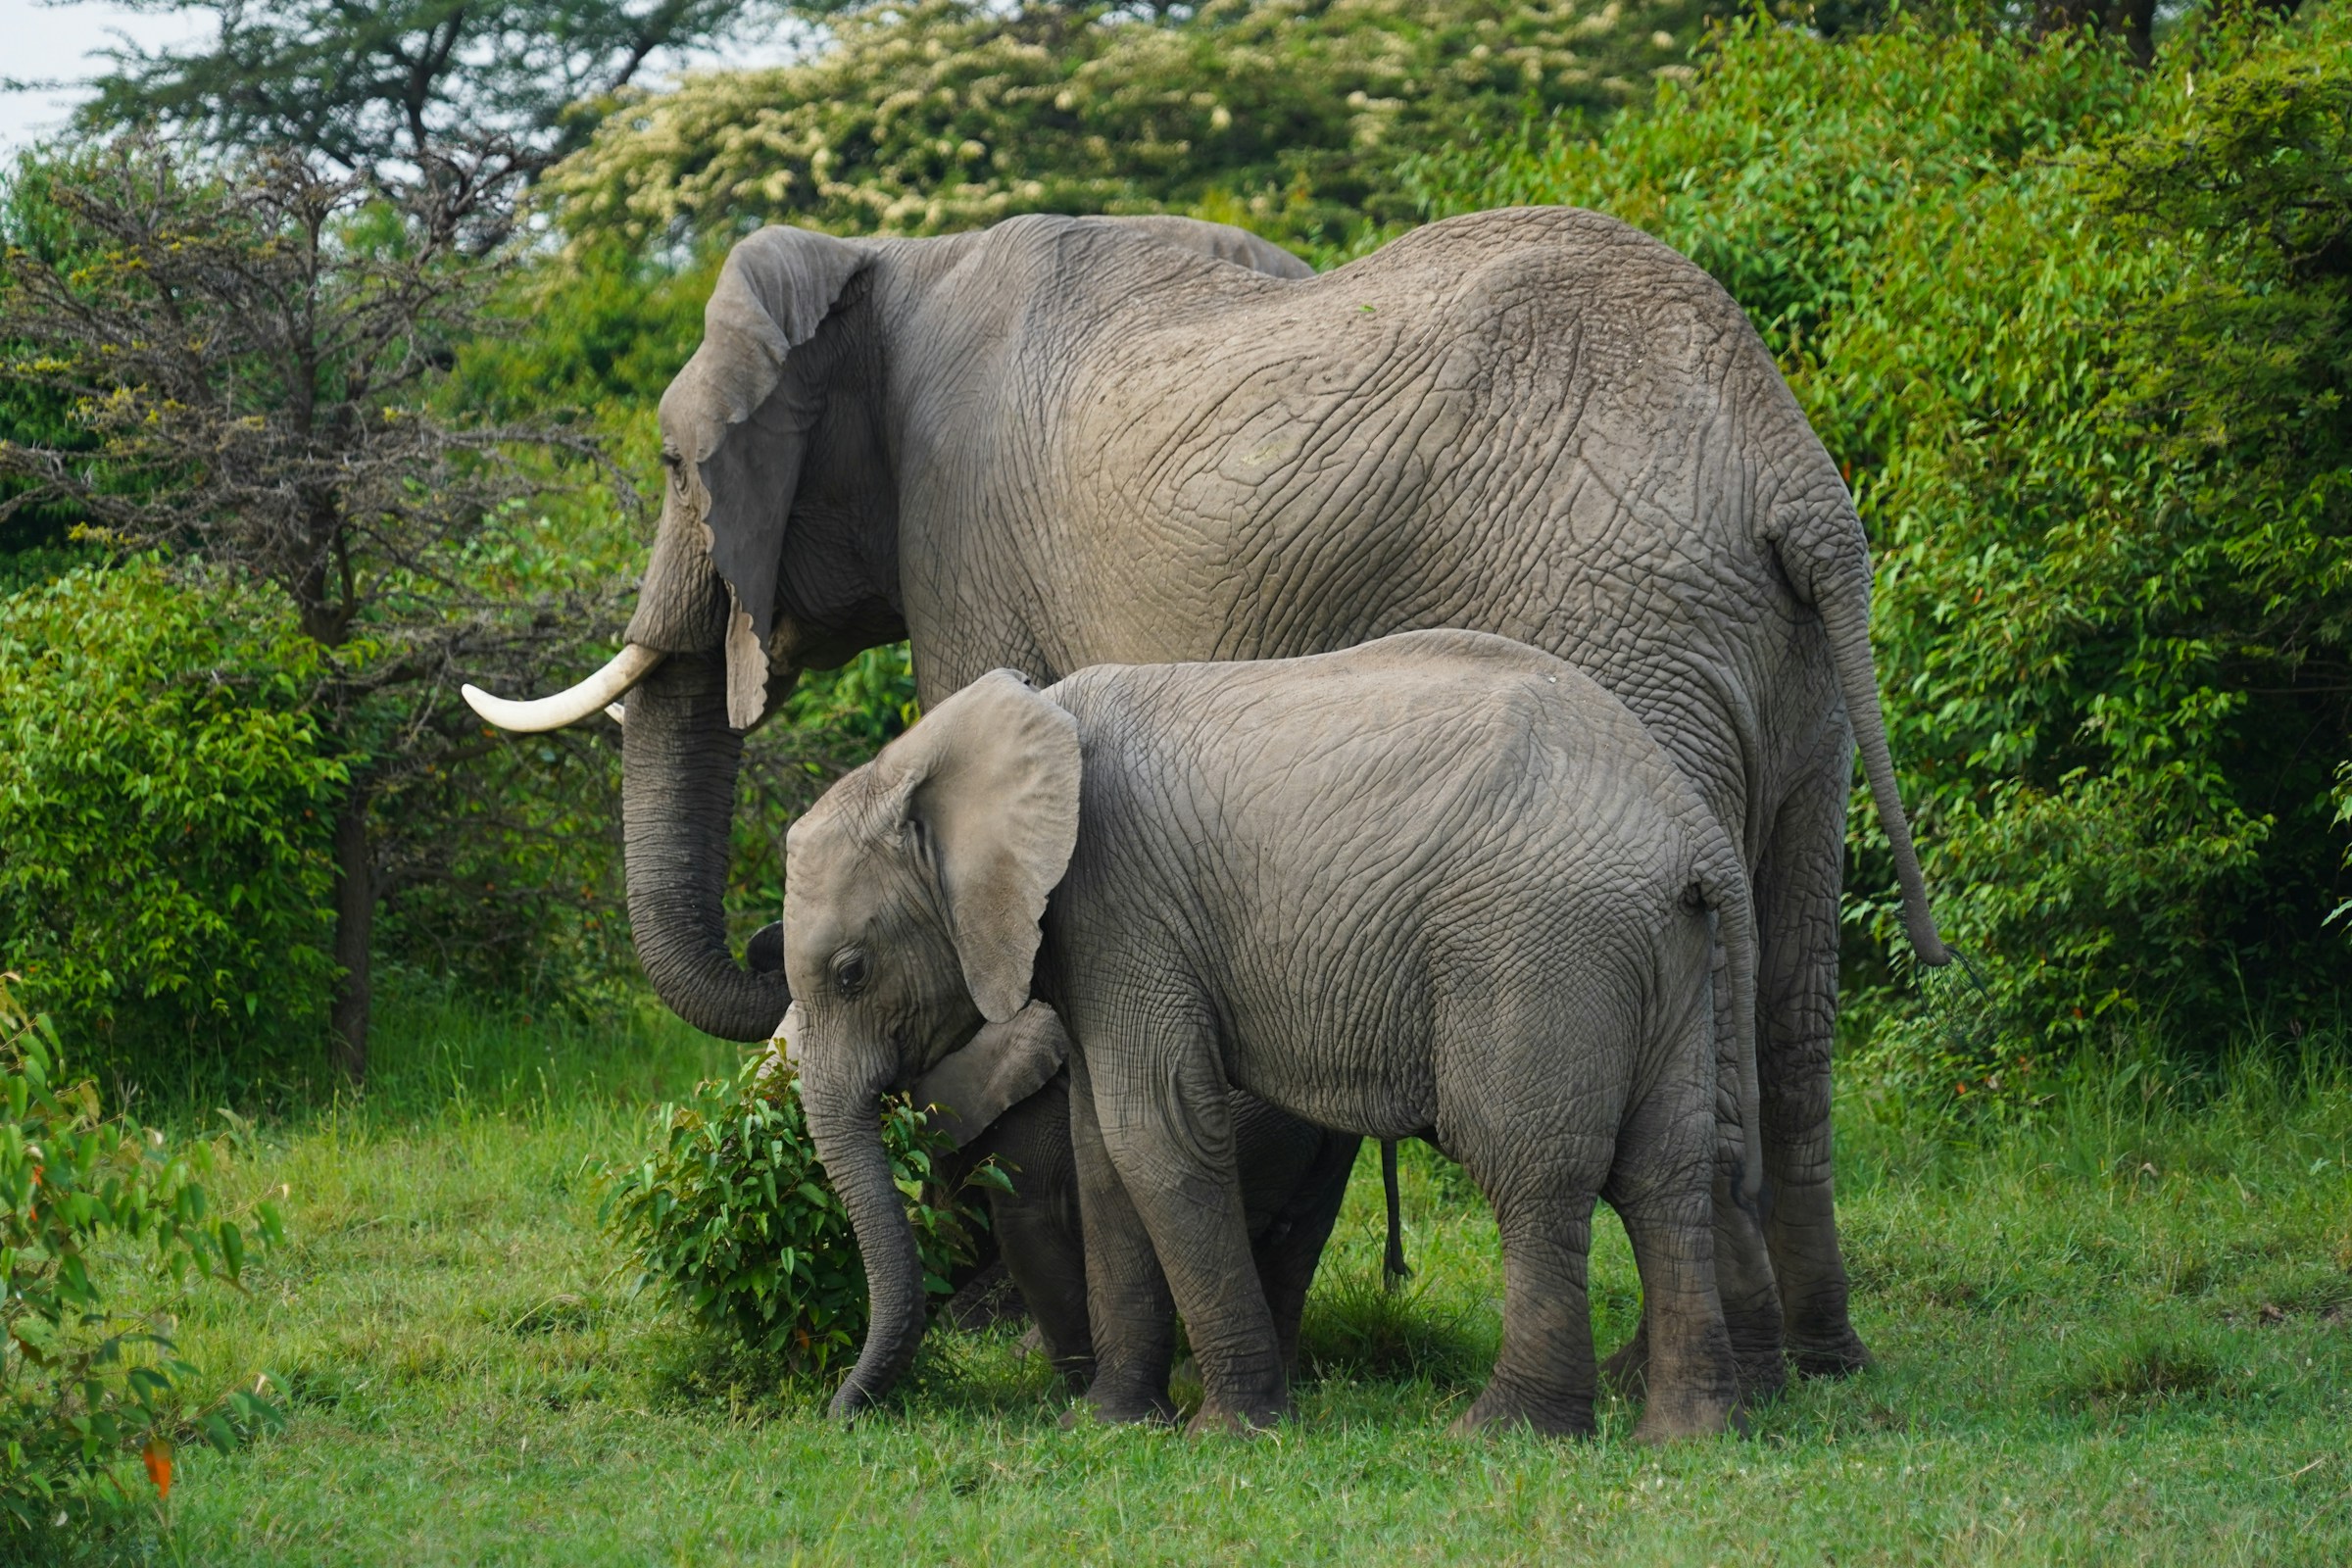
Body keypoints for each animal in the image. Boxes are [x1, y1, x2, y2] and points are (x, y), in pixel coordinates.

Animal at [780, 629, 1759, 1439]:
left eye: (851, 972)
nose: (840, 1415)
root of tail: (1690, 823)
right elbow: (1104, 1155)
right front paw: (1109, 1425)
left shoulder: (1123, 908)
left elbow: (1157, 1136)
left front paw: (1231, 1432)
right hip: (1663, 948)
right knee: (1667, 1171)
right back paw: (1690, 1435)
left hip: (1537, 941)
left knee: (1532, 1169)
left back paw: (1503, 1432)